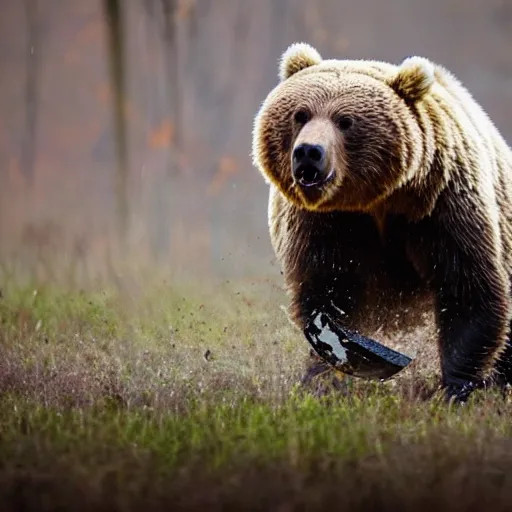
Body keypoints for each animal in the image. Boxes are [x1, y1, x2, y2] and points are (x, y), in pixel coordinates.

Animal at [253, 43, 512, 404]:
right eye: (300, 114)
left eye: (345, 120)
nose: (308, 152)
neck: (376, 200)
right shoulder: (324, 224)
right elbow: (328, 293)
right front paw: (325, 379)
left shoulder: (441, 206)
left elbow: (467, 288)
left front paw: (456, 389)